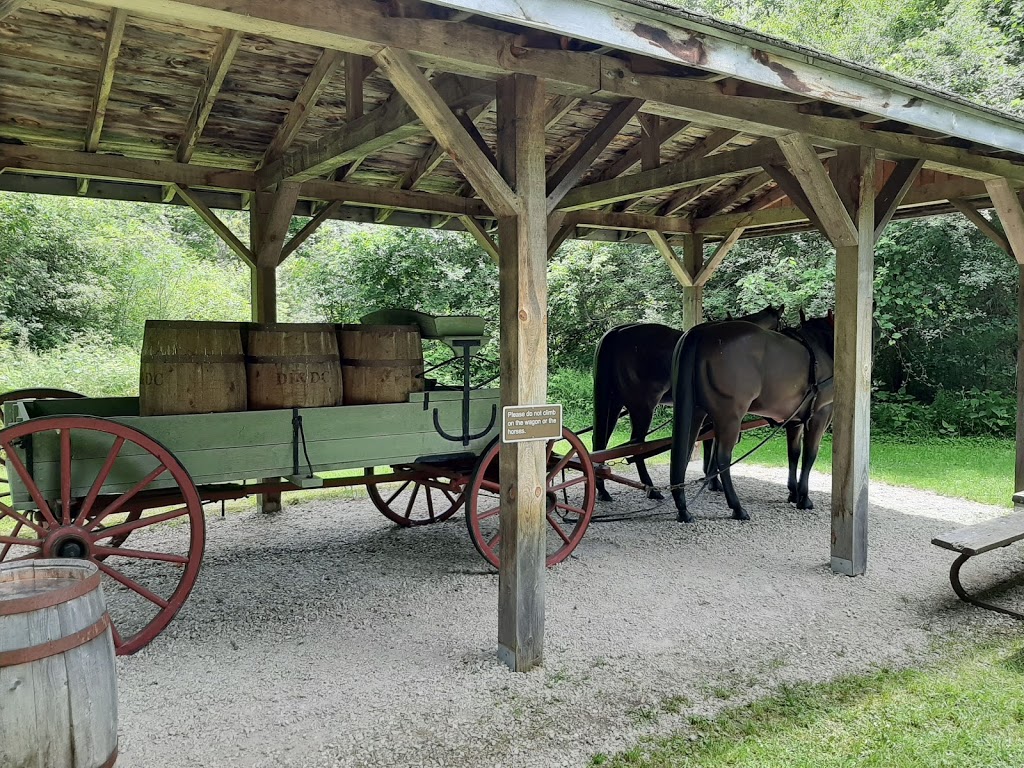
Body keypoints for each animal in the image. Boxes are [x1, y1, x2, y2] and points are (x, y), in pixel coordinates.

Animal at [593, 307, 782, 505]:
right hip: (642, 408)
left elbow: (709, 444)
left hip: (614, 404)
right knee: (637, 448)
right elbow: (712, 446)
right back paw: (651, 490)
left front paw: (711, 480)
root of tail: (616, 333)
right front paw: (713, 481)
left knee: (600, 444)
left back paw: (602, 489)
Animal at [667, 313, 835, 524]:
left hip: (696, 412)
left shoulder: (794, 421)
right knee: (722, 458)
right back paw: (737, 508)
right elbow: (810, 455)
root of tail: (700, 332)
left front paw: (794, 493)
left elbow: (794, 453)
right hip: (730, 418)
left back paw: (683, 508)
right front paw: (804, 498)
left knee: (683, 454)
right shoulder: (820, 415)